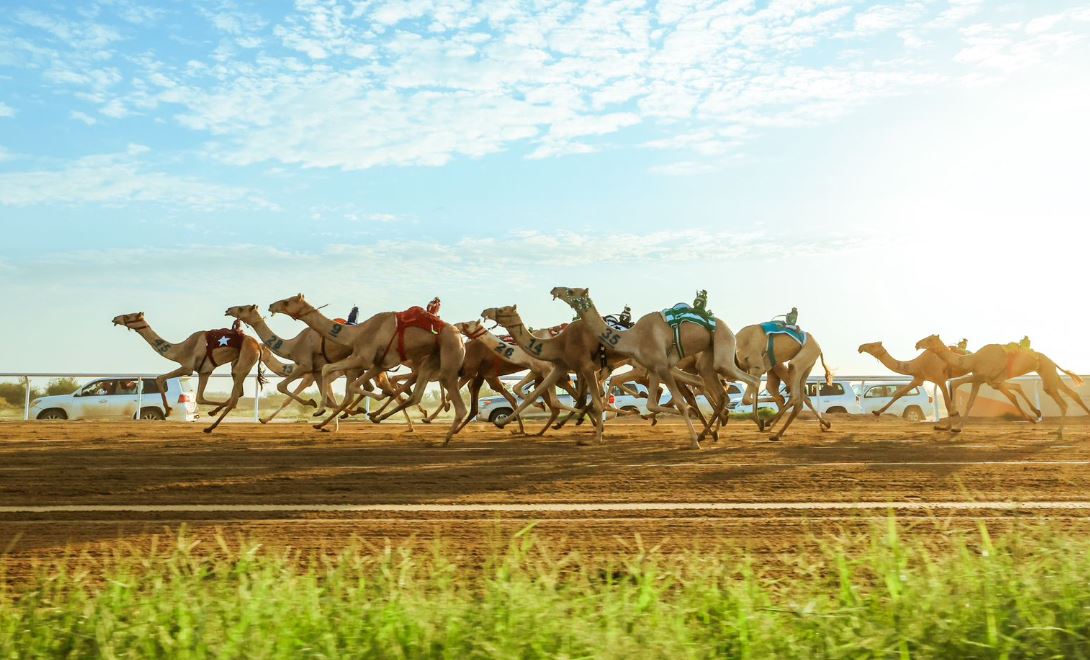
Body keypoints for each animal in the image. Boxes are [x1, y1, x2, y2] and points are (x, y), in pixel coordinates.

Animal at [111, 313, 265, 435]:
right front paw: (211, 411)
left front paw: (168, 411)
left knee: (234, 400)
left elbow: (159, 379)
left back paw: (210, 428)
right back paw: (213, 415)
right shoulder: (204, 371)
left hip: (245, 361)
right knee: (238, 392)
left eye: (128, 316)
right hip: (237, 364)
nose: (115, 318)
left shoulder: (187, 368)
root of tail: (258, 346)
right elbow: (199, 398)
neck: (180, 349)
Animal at [270, 294, 466, 444]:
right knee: (416, 394)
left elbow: (330, 372)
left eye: (287, 301)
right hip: (431, 359)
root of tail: (461, 338)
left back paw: (445, 438)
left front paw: (320, 409)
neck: (356, 333)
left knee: (459, 404)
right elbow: (352, 384)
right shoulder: (378, 363)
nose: (272, 305)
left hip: (449, 355)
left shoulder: (362, 358)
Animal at [553, 287, 758, 450]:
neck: (633, 337)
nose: (555, 290)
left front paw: (693, 440)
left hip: (722, 348)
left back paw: (751, 418)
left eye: (570, 291)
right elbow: (652, 401)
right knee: (720, 389)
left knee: (747, 380)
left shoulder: (660, 367)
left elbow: (680, 403)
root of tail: (727, 327)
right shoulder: (652, 369)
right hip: (707, 359)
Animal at [915, 335, 1085, 440]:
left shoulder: (987, 378)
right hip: (1049, 375)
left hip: (1048, 374)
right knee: (1071, 395)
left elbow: (1011, 395)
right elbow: (966, 396)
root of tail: (1052, 360)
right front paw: (956, 425)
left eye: (930, 339)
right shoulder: (983, 379)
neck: (973, 359)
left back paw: (1058, 429)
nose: (917, 344)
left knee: (1065, 399)